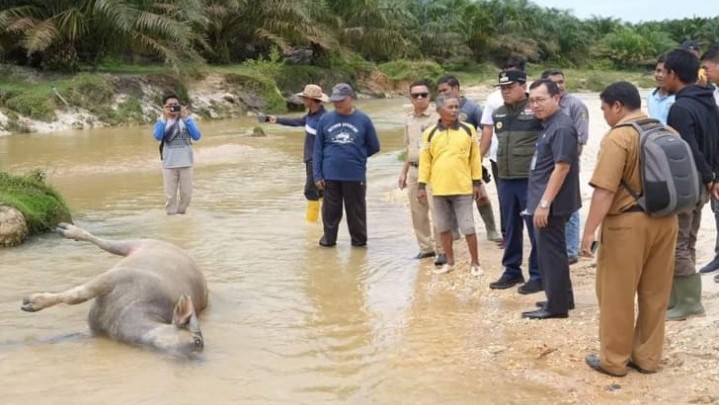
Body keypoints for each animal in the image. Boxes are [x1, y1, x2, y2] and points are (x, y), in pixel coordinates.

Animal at [21, 223, 208, 356]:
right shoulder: (112, 277)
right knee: (103, 242)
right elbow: (76, 295)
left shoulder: (93, 330)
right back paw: (69, 230)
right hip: (137, 243)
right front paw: (33, 301)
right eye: (197, 341)